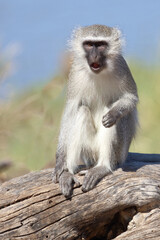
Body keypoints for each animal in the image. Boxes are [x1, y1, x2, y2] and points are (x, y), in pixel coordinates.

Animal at [53, 24, 138, 198]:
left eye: (101, 45)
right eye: (89, 44)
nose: (94, 55)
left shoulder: (122, 66)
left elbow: (130, 98)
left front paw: (114, 113)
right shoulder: (75, 71)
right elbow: (71, 111)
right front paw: (60, 163)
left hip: (119, 154)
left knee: (115, 113)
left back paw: (103, 167)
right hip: (89, 152)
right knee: (81, 110)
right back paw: (68, 173)